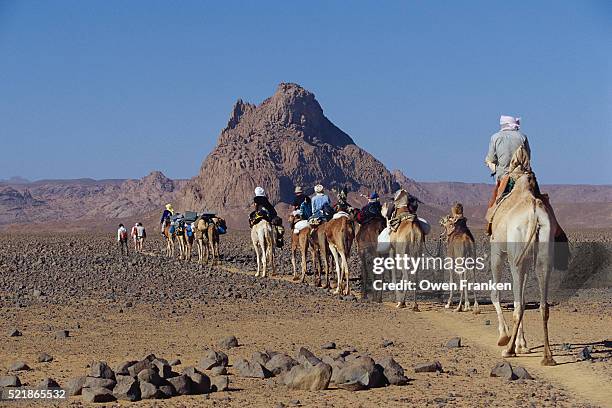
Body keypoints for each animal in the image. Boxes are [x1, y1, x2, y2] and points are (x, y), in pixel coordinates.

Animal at [488, 171, 560, 364]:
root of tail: (534, 213)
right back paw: (547, 357)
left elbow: (496, 293)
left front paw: (504, 337)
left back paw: (508, 349)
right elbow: (523, 297)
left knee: (518, 304)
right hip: (543, 250)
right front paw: (522, 344)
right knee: (542, 305)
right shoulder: (527, 258)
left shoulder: (497, 251)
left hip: (515, 256)